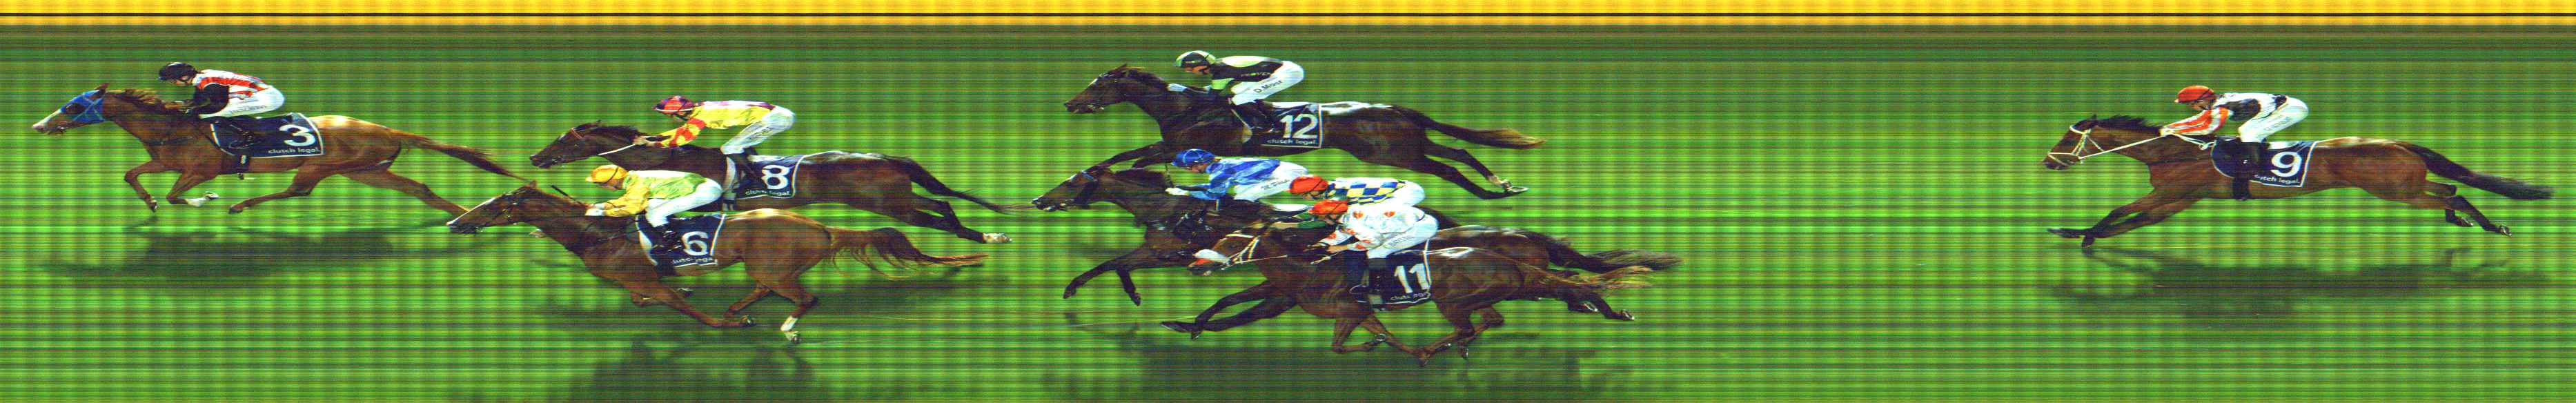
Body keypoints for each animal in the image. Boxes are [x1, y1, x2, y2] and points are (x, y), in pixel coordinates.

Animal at [31, 85, 524, 215]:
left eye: (73, 106)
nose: (40, 125)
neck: (173, 127)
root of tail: (384, 127)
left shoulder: (202, 169)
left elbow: (178, 195)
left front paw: (206, 200)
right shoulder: (162, 158)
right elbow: (133, 176)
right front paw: (149, 202)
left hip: (325, 166)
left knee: (298, 191)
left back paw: (241, 204)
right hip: (366, 170)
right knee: (419, 188)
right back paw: (463, 215)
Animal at [444, 184, 986, 342]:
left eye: (495, 206)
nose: (455, 222)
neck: (598, 233)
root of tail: (822, 228)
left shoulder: (645, 280)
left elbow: (680, 309)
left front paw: (718, 321)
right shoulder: (640, 282)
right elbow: (647, 301)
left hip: (770, 266)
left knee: (803, 297)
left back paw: (782, 327)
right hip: (764, 268)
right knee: (768, 290)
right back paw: (741, 310)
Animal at [1063, 65, 1543, 199]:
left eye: (1100, 84)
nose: (1070, 104)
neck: (1186, 106)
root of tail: (1394, 106)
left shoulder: (1184, 144)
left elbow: (1136, 158)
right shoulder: (1172, 144)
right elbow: (1127, 156)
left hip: (1393, 154)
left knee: (1450, 166)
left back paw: (1490, 191)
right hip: (1404, 146)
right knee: (1459, 154)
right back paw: (1503, 185)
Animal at [1185, 225, 1653, 365]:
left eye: (1231, 241)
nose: (1194, 262)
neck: (1306, 270)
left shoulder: (1344, 308)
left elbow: (1348, 343)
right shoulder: (1352, 311)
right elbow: (1374, 336)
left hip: (1455, 300)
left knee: (1481, 321)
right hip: (1497, 292)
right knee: (1499, 315)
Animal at [2041, 115, 2552, 247]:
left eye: (2068, 138)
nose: (2047, 162)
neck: (2174, 151)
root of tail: (2399, 142)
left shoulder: (2173, 192)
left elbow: (2120, 212)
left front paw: (2082, 234)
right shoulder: (2179, 199)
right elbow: (2131, 221)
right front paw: (2076, 231)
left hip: (2395, 190)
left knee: (2454, 194)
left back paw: (2489, 225)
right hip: (2403, 188)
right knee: (2449, 191)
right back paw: (2464, 222)